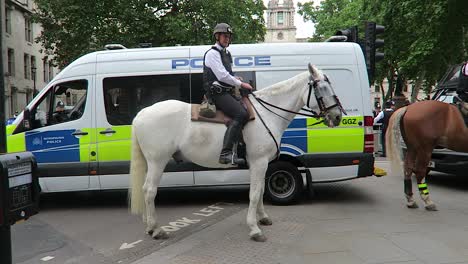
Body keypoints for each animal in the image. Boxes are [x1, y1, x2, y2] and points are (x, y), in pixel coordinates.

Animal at [128, 63, 344, 241]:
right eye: (321, 88)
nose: (337, 116)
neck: (266, 114)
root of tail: (142, 113)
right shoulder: (259, 162)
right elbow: (254, 193)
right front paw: (254, 229)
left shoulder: (261, 164)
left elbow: (260, 190)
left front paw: (263, 218)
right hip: (157, 161)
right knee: (149, 190)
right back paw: (157, 230)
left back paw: (150, 227)